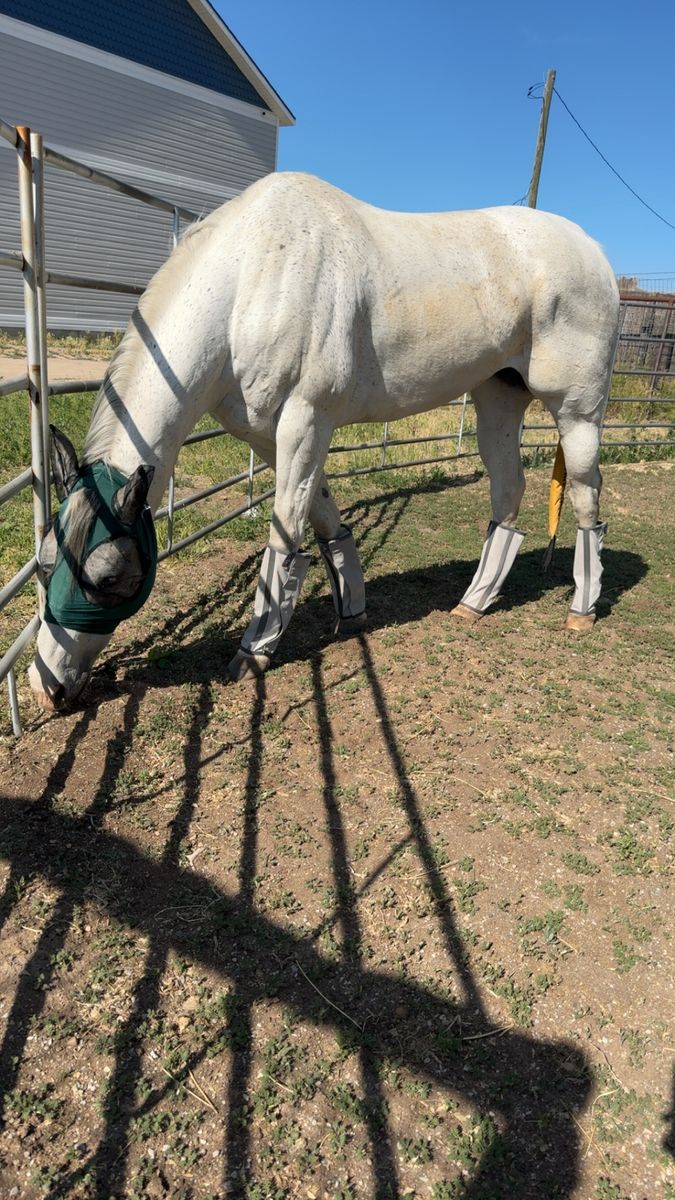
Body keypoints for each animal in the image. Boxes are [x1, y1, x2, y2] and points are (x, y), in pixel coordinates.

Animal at [28, 172, 620, 710]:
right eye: (44, 560)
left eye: (108, 575)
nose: (46, 686)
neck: (254, 278)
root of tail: (594, 252)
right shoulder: (268, 434)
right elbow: (324, 518)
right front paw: (351, 610)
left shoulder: (306, 420)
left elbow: (285, 537)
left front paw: (254, 652)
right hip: (498, 398)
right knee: (508, 490)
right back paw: (475, 601)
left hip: (576, 411)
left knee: (586, 492)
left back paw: (581, 611)